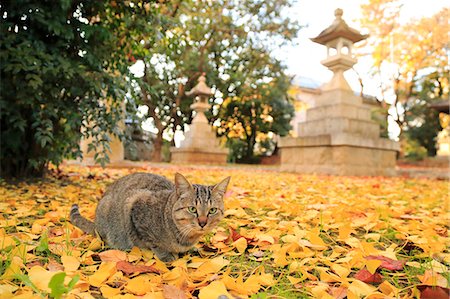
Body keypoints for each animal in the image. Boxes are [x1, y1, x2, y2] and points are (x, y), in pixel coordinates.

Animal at [72, 173, 232, 262]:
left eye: (212, 210)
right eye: (192, 209)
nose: (203, 223)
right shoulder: (134, 206)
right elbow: (152, 242)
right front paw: (165, 254)